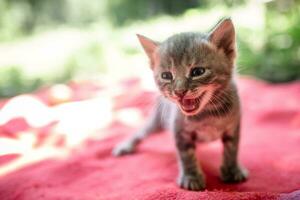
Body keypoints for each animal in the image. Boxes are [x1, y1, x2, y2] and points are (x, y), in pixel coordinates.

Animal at [112, 18, 248, 191]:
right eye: (166, 75)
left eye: (198, 72)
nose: (179, 91)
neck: (207, 113)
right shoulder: (179, 129)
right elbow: (186, 155)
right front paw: (192, 177)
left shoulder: (234, 126)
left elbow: (232, 149)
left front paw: (232, 170)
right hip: (158, 121)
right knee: (142, 132)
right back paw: (126, 145)